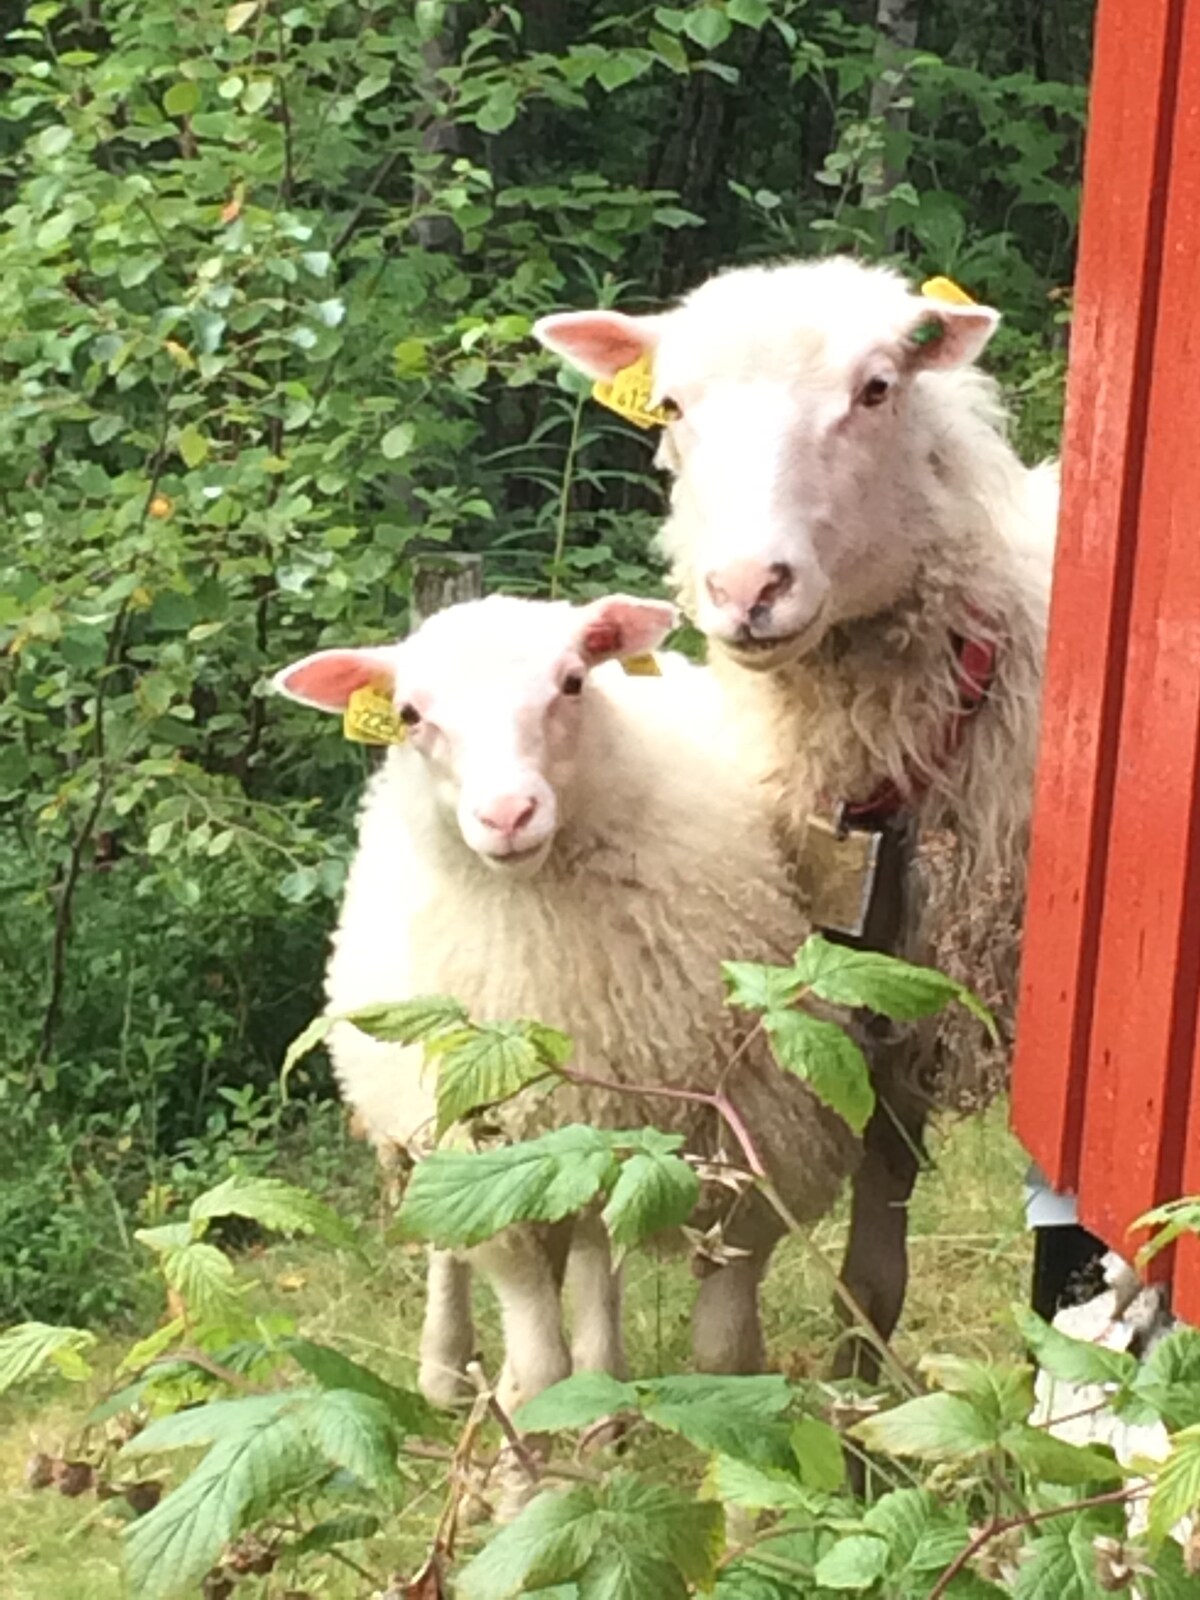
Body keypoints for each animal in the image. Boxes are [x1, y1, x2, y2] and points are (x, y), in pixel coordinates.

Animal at [275, 598, 864, 1427]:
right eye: (410, 714)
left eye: (573, 682)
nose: (507, 814)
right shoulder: (495, 1175)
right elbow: (541, 1357)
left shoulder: (727, 1149)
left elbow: (697, 1340)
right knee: (451, 1247)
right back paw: (448, 1370)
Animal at [540, 259, 1056, 1376]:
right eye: (672, 406)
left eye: (877, 389)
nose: (746, 587)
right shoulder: (880, 986)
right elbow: (872, 1255)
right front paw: (860, 1393)